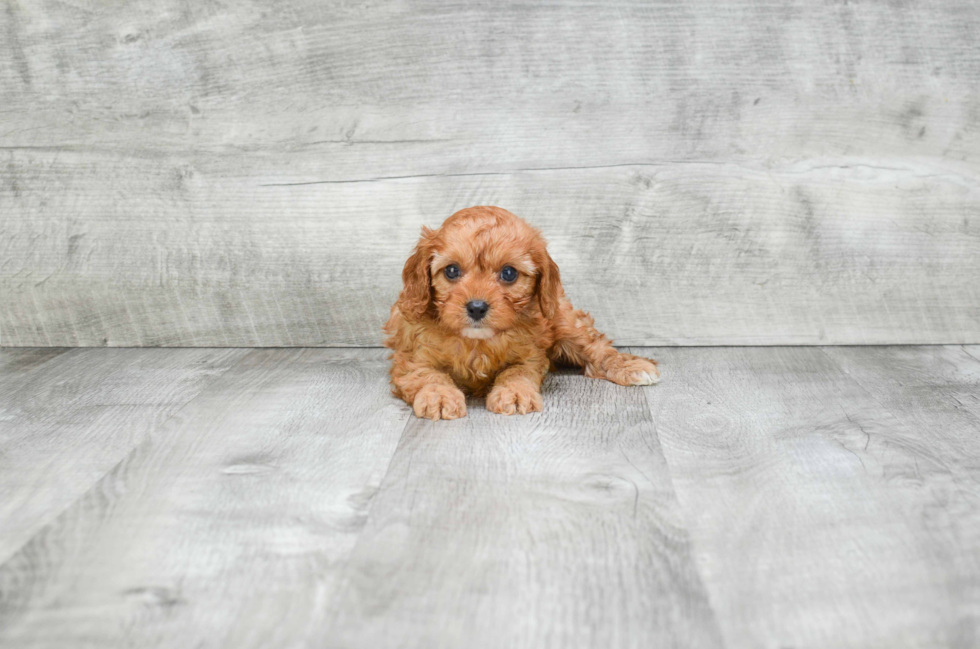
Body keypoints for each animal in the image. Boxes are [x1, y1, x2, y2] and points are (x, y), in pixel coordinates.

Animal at [382, 208, 660, 420]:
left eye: (509, 273)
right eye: (451, 271)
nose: (476, 307)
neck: (477, 342)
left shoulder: (530, 356)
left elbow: (516, 372)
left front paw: (514, 394)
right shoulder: (412, 358)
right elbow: (427, 375)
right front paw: (439, 396)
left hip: (563, 321)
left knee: (598, 348)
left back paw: (631, 366)